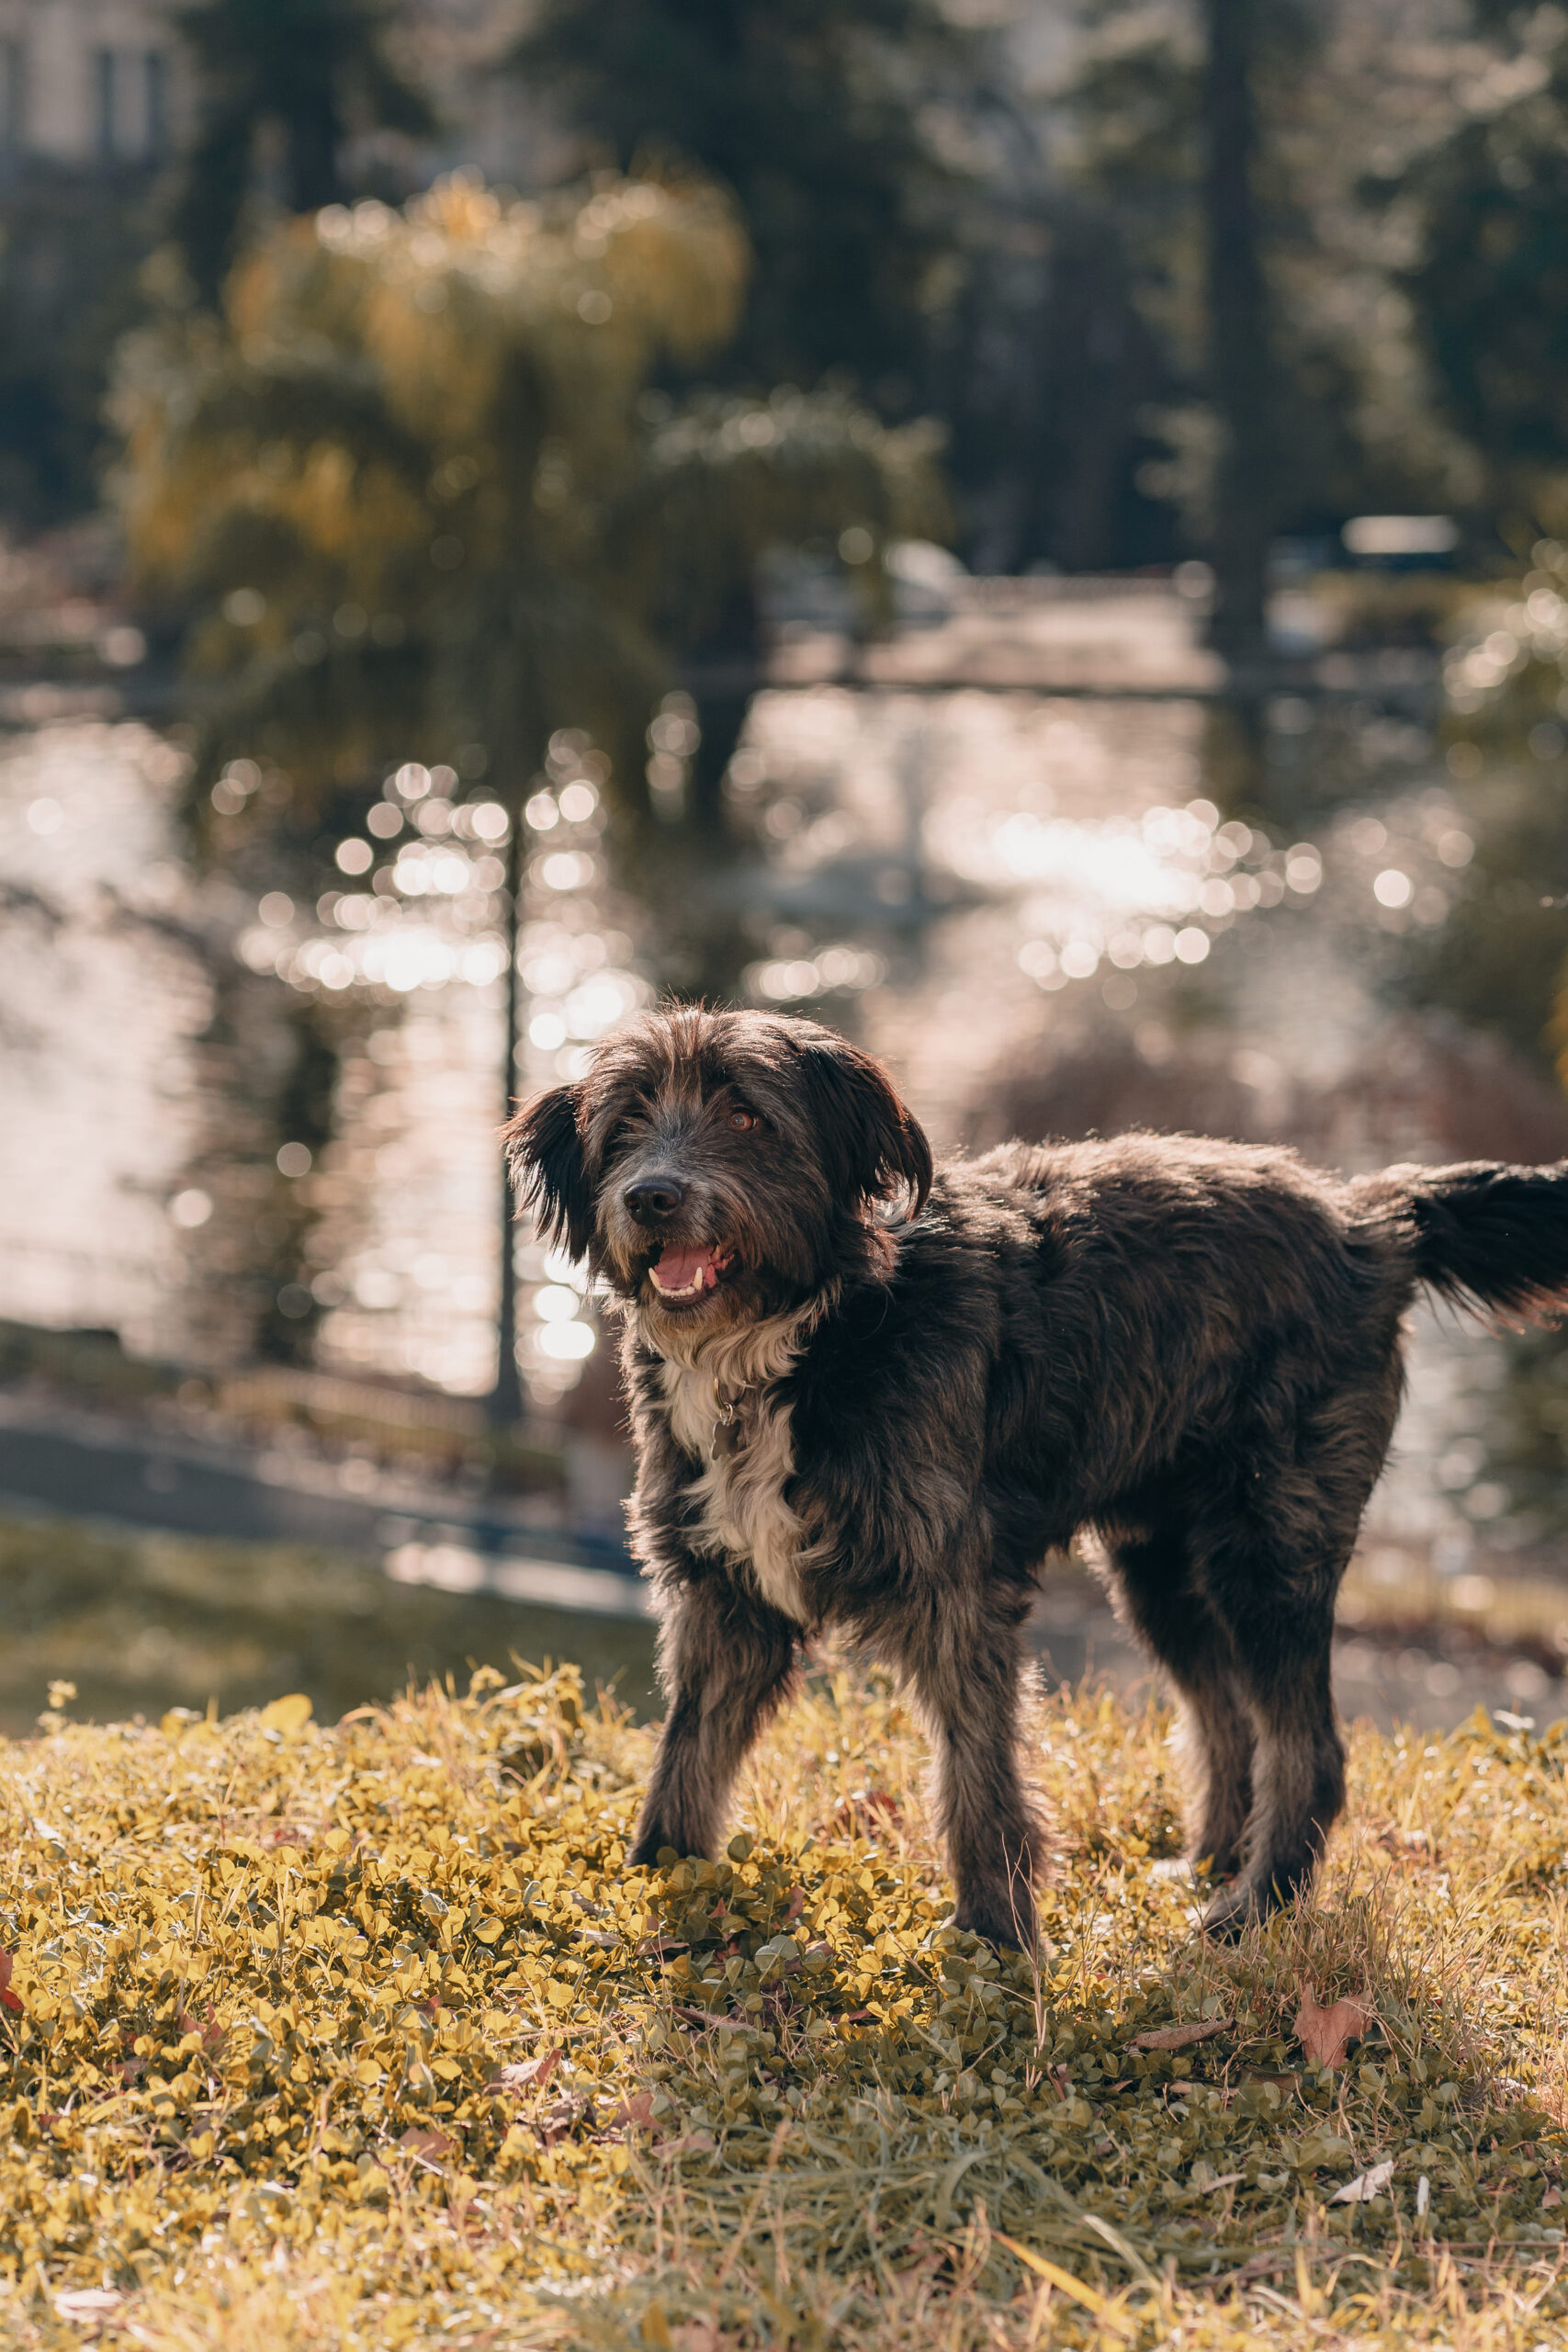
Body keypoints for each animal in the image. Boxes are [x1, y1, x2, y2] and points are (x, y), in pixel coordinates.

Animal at [505, 1011, 1568, 1947]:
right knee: (1224, 1716)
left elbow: (977, 1778)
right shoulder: (723, 1594)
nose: (651, 1197)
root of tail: (1369, 1218)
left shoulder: (953, 1591)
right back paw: (1209, 1863)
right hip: (1160, 1567)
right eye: (626, 1123)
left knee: (1310, 1749)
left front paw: (997, 1940)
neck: (812, 1332)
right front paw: (656, 1882)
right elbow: (687, 1752)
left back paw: (1255, 1909)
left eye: (745, 1118)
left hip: (1267, 1551)